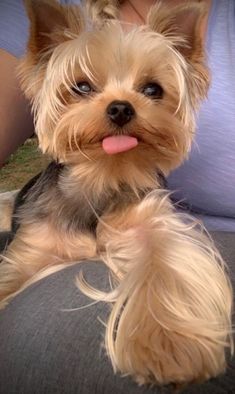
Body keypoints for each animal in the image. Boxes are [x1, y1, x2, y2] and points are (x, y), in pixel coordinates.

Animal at [0, 0, 232, 388]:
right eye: (81, 86)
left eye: (153, 89)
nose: (121, 107)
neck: (103, 176)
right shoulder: (30, 249)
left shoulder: (148, 220)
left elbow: (163, 258)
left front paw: (170, 346)